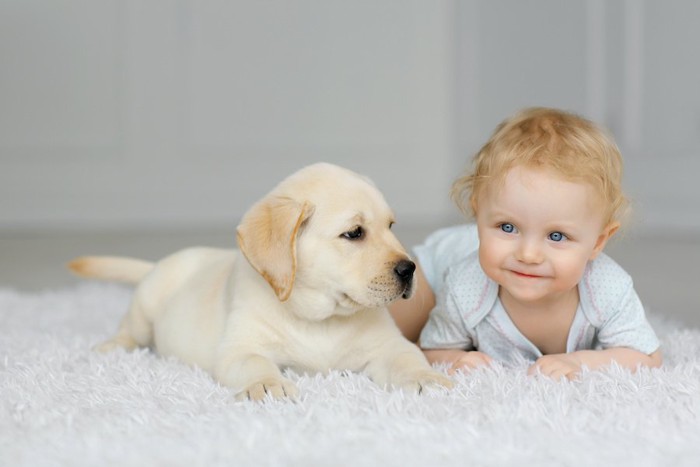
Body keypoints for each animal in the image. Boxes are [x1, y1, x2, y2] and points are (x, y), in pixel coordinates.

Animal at [69, 163, 454, 400]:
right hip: (146, 304)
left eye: (391, 227)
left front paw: (426, 378)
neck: (321, 319)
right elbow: (256, 364)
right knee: (130, 330)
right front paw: (269, 385)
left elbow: (408, 358)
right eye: (354, 233)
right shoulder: (240, 349)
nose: (409, 269)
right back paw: (110, 347)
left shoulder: (389, 346)